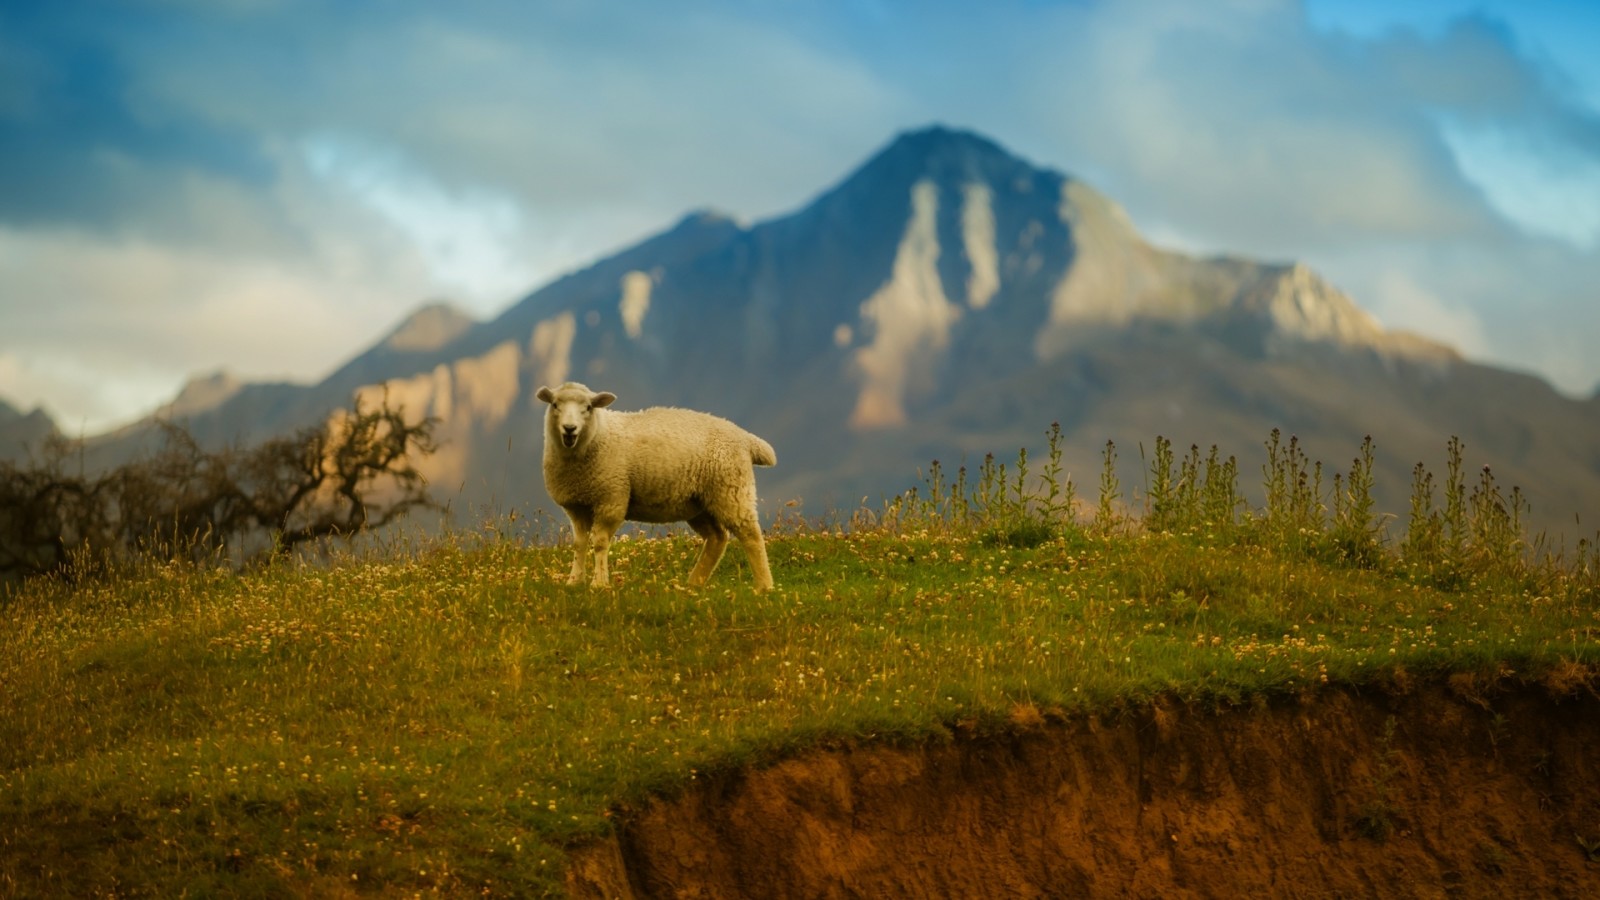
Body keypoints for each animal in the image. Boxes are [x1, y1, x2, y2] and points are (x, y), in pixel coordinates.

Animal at [534, 381, 777, 592]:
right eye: (555, 405)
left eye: (588, 407)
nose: (570, 429)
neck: (597, 435)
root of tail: (746, 438)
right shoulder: (577, 506)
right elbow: (579, 543)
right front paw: (574, 581)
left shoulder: (611, 499)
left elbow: (600, 543)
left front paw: (599, 583)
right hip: (698, 502)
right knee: (717, 538)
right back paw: (694, 583)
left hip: (731, 490)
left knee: (751, 535)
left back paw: (764, 586)